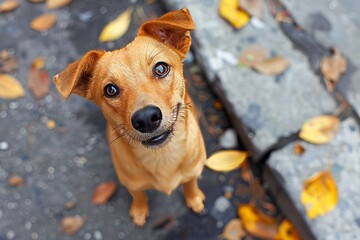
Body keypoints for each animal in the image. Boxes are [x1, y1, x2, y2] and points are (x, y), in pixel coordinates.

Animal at [53, 7, 205, 225]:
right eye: (110, 90)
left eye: (161, 68)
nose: (146, 118)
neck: (163, 157)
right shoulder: (132, 184)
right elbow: (139, 196)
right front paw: (139, 211)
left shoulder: (193, 172)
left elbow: (190, 184)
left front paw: (194, 199)